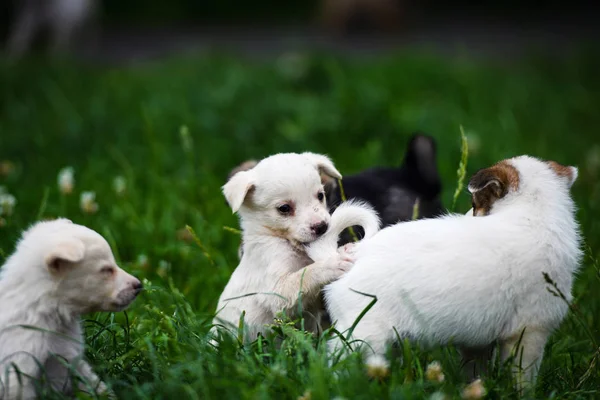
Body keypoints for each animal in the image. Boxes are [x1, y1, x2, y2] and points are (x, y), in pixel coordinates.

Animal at [213, 153, 378, 340]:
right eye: (284, 208)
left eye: (320, 195)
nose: (321, 226)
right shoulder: (275, 291)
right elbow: (305, 275)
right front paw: (334, 264)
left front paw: (345, 249)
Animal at [310, 155, 580, 388]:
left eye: (475, 203)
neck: (533, 215)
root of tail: (349, 255)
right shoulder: (529, 333)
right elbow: (523, 379)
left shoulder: (479, 340)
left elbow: (475, 371)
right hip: (362, 334)